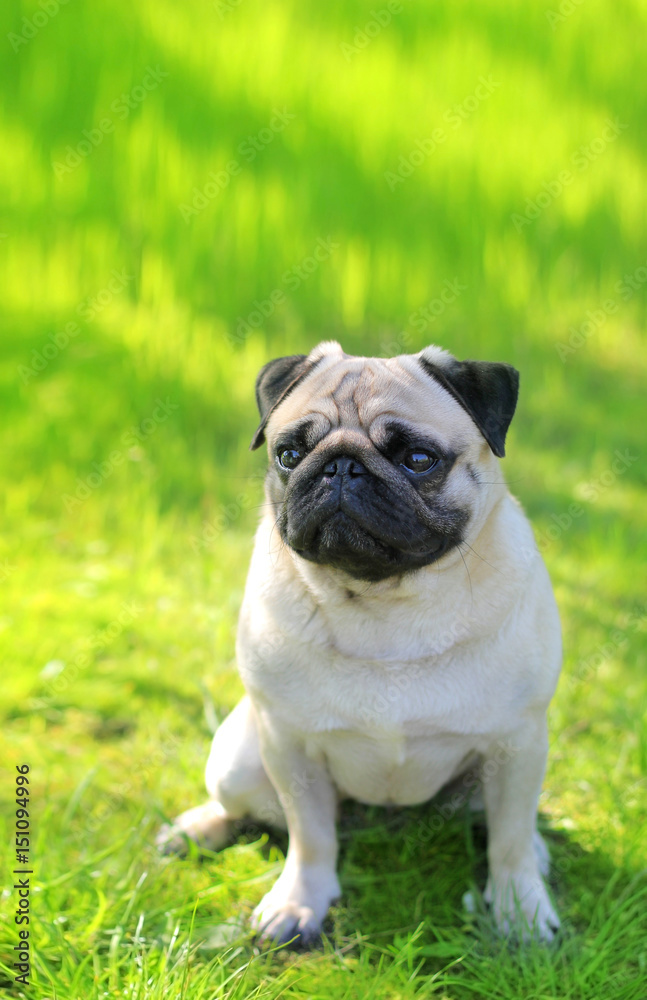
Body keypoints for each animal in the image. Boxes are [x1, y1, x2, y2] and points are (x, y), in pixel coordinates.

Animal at [159, 342, 564, 944]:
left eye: (418, 459)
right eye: (289, 453)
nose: (341, 466)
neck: (383, 608)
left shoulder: (517, 745)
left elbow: (509, 838)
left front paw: (521, 910)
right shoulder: (290, 746)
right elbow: (310, 837)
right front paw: (299, 902)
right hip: (238, 757)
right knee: (239, 806)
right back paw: (196, 829)